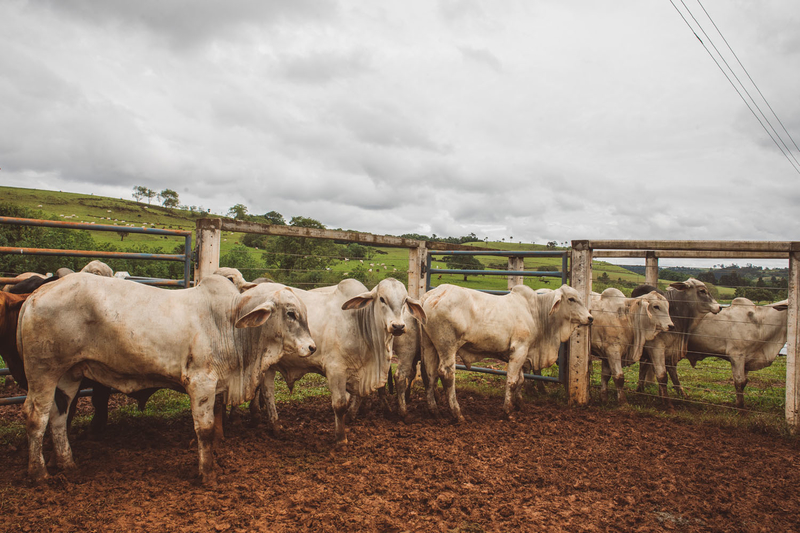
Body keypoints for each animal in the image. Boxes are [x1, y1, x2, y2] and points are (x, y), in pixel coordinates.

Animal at [17, 272, 314, 484]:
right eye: (291, 313)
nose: (312, 347)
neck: (228, 324)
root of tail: (36, 294)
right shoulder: (201, 384)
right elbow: (204, 430)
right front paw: (207, 474)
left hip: (69, 375)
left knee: (58, 417)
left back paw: (68, 465)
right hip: (44, 371)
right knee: (36, 416)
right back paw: (38, 474)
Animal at [418, 282, 592, 420]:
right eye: (571, 299)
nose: (590, 318)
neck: (535, 313)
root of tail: (431, 294)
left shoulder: (521, 354)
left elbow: (521, 379)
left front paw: (520, 404)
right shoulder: (519, 349)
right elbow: (512, 380)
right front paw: (508, 410)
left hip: (429, 345)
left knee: (430, 374)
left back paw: (434, 411)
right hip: (448, 347)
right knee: (446, 374)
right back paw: (457, 413)